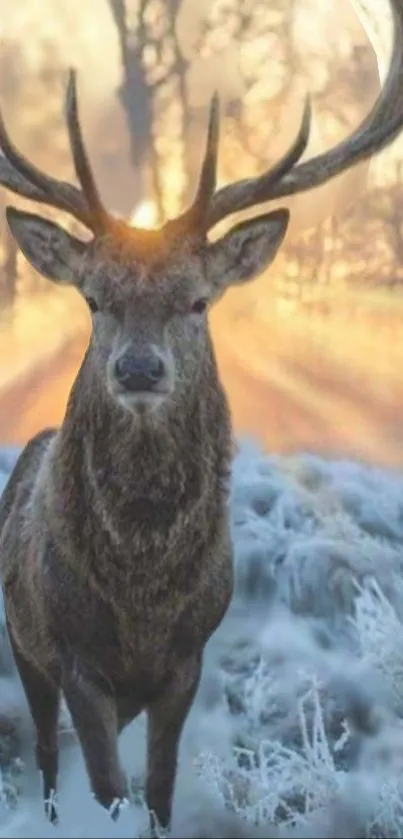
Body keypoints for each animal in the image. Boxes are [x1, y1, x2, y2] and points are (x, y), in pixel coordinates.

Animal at [0, 0, 402, 832]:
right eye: (94, 298)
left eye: (197, 300)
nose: (138, 368)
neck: (142, 601)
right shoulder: (73, 655)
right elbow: (107, 786)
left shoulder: (188, 658)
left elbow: (156, 788)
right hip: (22, 642)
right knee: (48, 758)